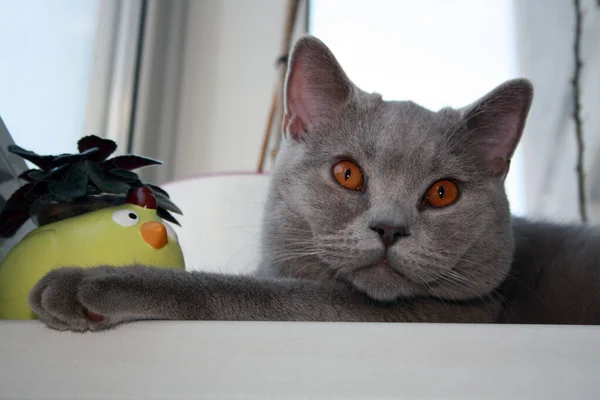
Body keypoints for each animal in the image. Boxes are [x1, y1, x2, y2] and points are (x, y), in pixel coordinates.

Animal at [28, 36, 600, 332]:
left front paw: (87, 282)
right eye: (348, 174)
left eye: (443, 193)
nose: (389, 229)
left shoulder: (450, 315)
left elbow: (255, 293)